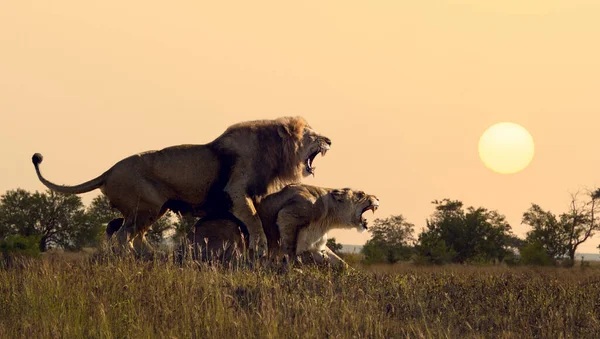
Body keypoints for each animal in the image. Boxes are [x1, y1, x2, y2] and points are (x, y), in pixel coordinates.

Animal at [31, 117, 332, 255]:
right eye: (311, 134)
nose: (329, 140)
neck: (274, 152)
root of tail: (109, 170)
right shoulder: (236, 191)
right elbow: (255, 222)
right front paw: (258, 250)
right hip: (147, 207)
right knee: (124, 235)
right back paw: (136, 258)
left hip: (152, 210)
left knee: (122, 229)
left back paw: (152, 256)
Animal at [186, 183, 380, 268]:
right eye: (361, 194)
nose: (378, 198)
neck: (328, 218)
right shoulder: (288, 214)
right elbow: (290, 248)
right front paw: (293, 268)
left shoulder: (317, 246)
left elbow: (341, 263)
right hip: (232, 232)